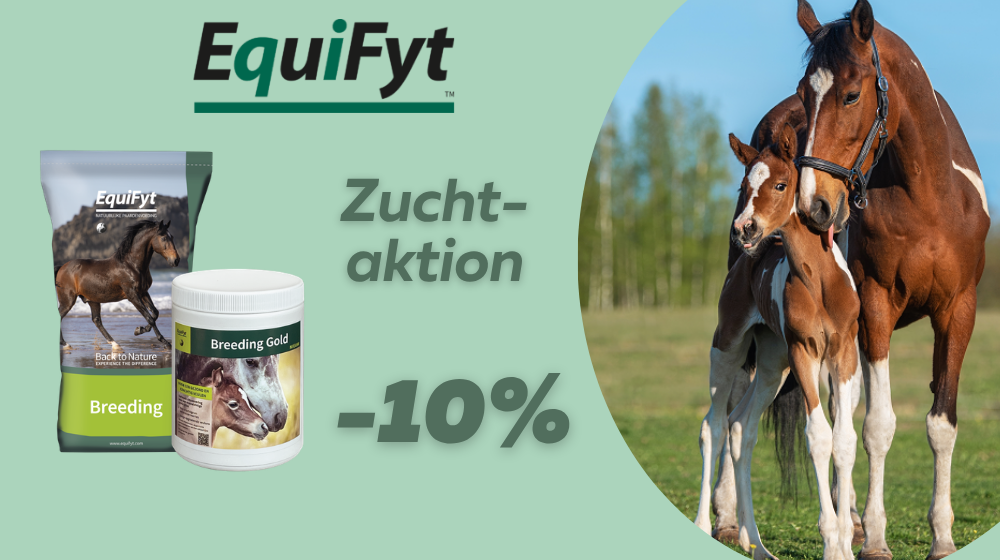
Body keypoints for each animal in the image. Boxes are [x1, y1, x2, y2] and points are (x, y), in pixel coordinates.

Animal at [55, 220, 179, 352]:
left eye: (172, 237)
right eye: (164, 238)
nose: (176, 260)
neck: (131, 265)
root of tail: (62, 268)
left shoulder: (143, 292)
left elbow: (155, 313)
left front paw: (139, 330)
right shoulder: (132, 295)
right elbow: (149, 317)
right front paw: (165, 343)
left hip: (93, 300)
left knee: (97, 320)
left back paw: (115, 344)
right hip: (68, 300)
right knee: (61, 316)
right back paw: (66, 344)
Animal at [700, 95, 864, 547]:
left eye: (779, 185)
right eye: (743, 187)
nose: (744, 228)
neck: (821, 282)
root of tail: (745, 263)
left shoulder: (843, 353)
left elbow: (844, 439)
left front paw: (847, 537)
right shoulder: (805, 352)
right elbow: (818, 436)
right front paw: (833, 542)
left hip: (773, 363)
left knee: (742, 427)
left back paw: (756, 546)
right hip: (728, 346)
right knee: (713, 425)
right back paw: (706, 526)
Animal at [790, 2, 990, 558]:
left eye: (851, 94)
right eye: (805, 94)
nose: (813, 206)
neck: (929, 198)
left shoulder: (958, 311)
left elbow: (941, 423)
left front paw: (941, 536)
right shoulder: (876, 308)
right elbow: (878, 426)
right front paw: (877, 539)